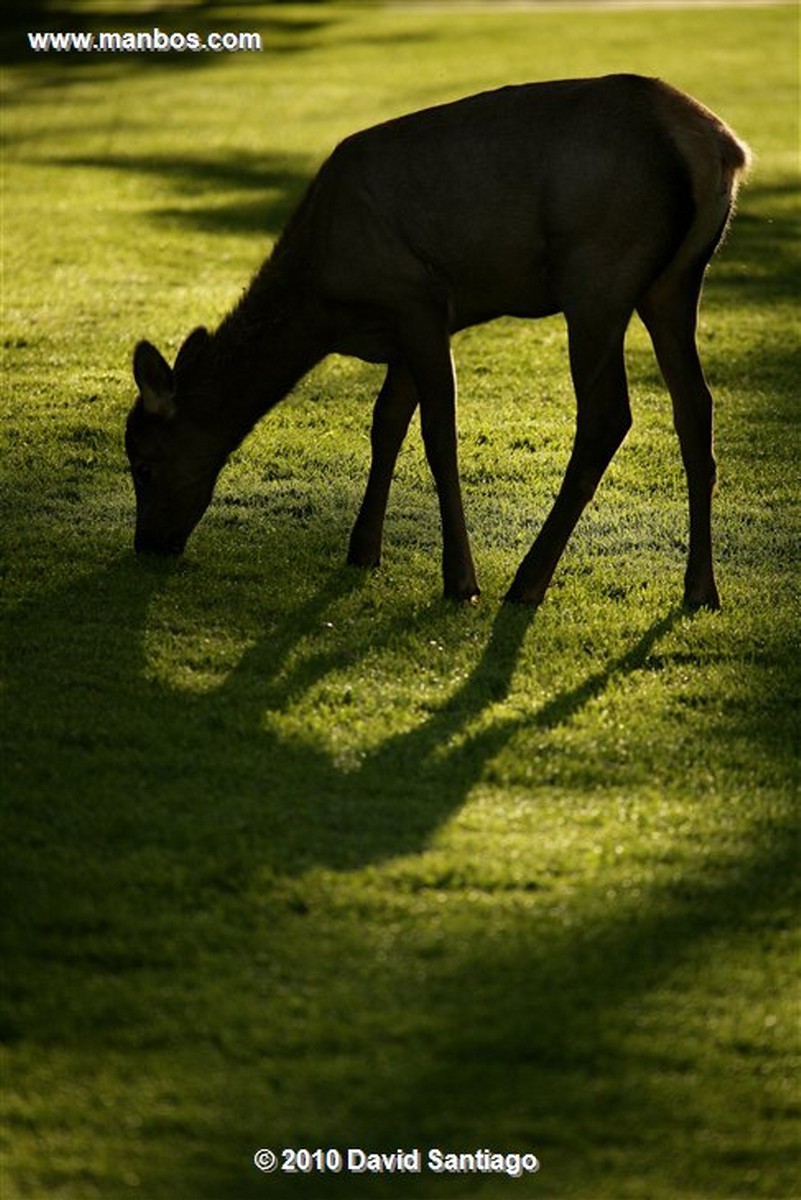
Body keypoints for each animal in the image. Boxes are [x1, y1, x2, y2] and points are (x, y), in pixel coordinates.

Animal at [128, 70, 748, 604]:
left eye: (145, 462)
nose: (148, 545)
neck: (323, 301)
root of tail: (723, 149)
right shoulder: (407, 328)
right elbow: (385, 425)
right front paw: (362, 550)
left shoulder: (418, 299)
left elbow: (437, 436)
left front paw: (460, 580)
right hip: (674, 283)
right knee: (696, 407)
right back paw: (701, 590)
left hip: (598, 273)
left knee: (607, 415)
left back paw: (527, 582)